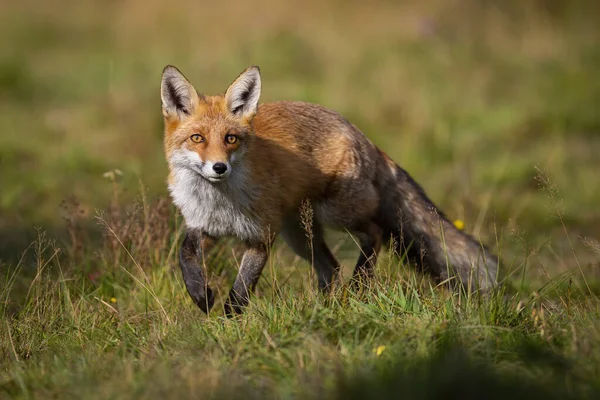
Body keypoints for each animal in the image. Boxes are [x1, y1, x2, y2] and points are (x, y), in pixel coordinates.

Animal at [159, 65, 496, 316]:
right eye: (197, 138)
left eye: (231, 139)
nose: (219, 168)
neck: (220, 202)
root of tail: (363, 137)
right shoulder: (202, 224)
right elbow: (185, 254)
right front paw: (200, 295)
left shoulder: (260, 236)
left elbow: (242, 290)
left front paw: (228, 324)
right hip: (299, 235)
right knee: (331, 269)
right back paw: (325, 308)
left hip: (333, 213)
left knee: (374, 233)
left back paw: (358, 285)